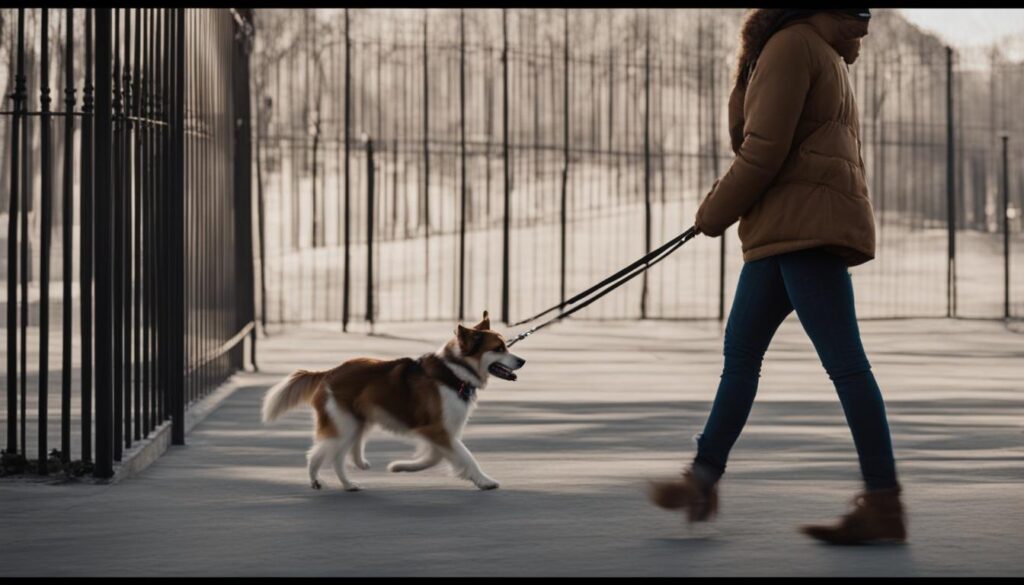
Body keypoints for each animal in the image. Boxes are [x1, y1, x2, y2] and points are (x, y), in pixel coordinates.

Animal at [260, 311, 524, 493]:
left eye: (505, 346)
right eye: (499, 348)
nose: (522, 361)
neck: (454, 372)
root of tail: (330, 372)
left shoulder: (440, 432)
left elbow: (436, 457)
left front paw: (402, 466)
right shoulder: (436, 429)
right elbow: (466, 456)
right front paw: (484, 481)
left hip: (356, 422)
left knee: (337, 455)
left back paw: (349, 484)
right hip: (344, 424)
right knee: (320, 454)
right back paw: (316, 478)